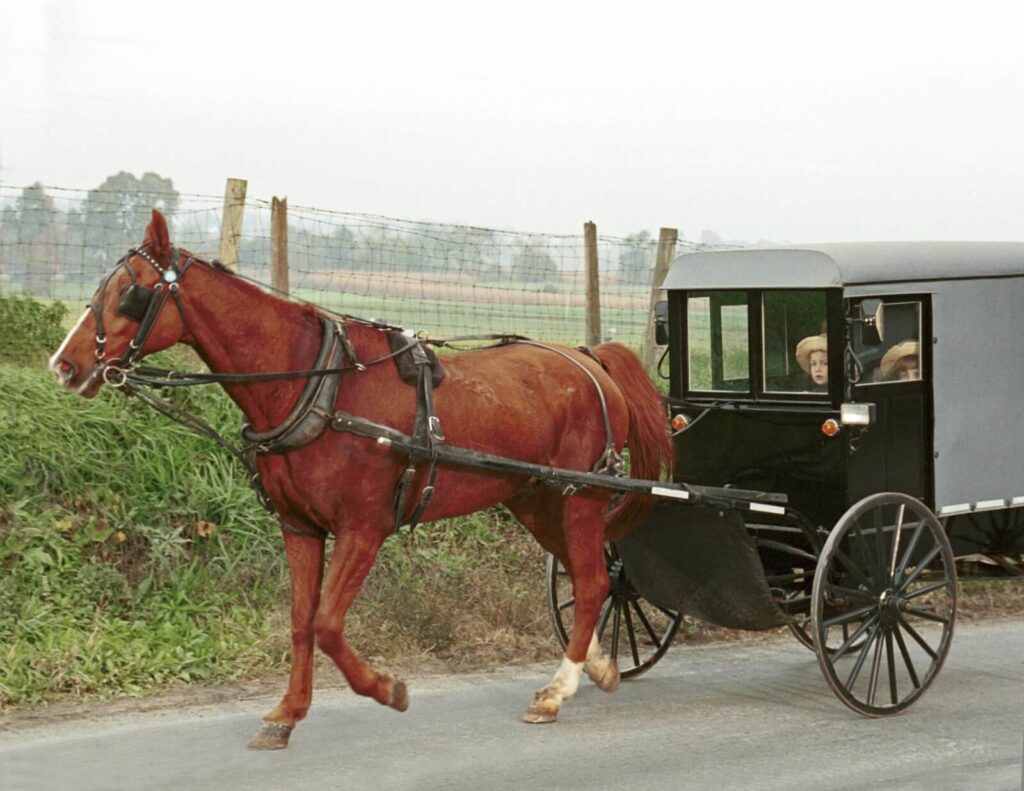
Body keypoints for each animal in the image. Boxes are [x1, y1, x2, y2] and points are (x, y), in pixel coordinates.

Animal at [49, 210, 673, 750]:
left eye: (129, 293)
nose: (64, 365)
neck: (316, 383)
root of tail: (589, 357)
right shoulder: (300, 529)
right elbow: (301, 623)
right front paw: (285, 715)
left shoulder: (363, 529)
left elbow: (327, 624)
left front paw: (386, 689)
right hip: (537, 499)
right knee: (589, 578)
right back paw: (599, 666)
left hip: (580, 498)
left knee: (591, 581)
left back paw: (556, 691)